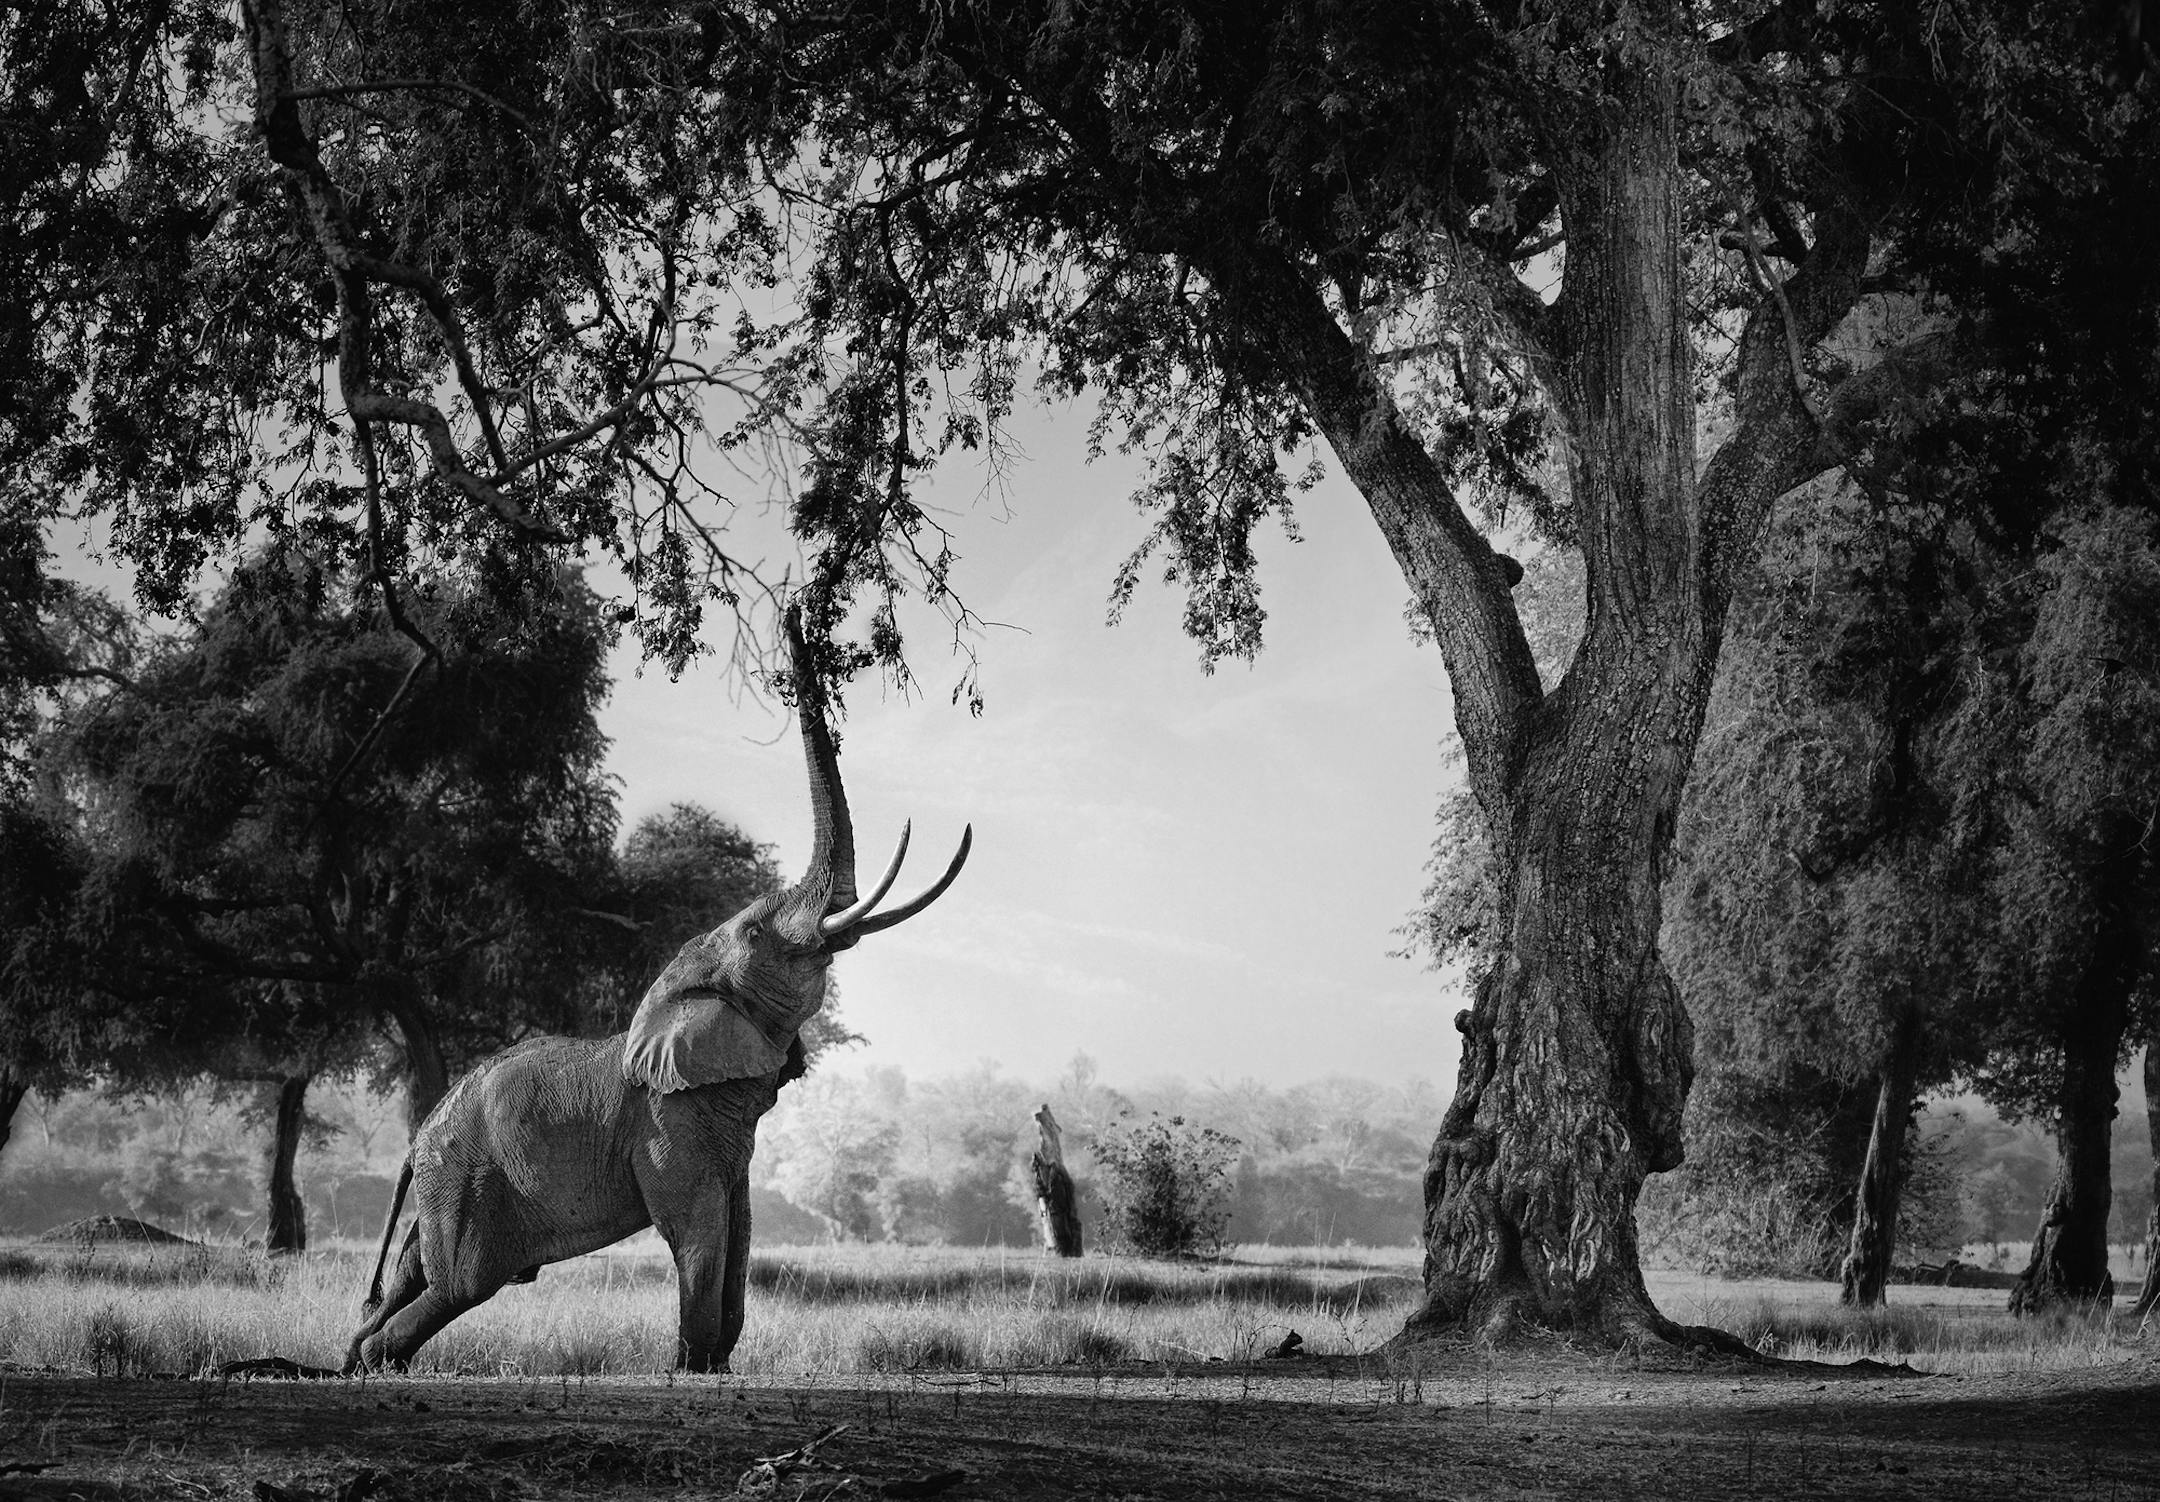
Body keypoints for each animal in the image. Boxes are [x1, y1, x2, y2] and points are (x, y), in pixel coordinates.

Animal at [343, 612, 969, 1373]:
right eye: (756, 933)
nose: (794, 609)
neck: (677, 989)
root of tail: (416, 1141)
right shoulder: (665, 1120)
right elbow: (697, 1226)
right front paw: (691, 1368)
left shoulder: (727, 1135)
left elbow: (740, 1227)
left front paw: (715, 1365)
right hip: (464, 1177)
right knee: (460, 1280)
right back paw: (378, 1361)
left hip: (449, 1180)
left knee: (417, 1273)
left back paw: (354, 1358)